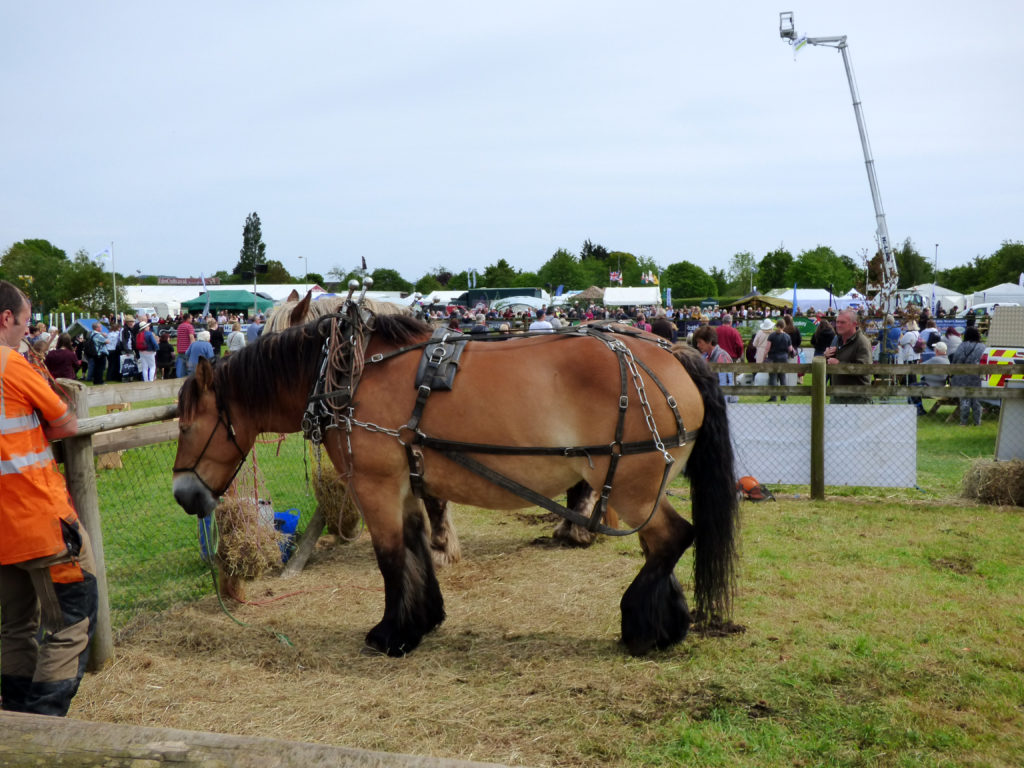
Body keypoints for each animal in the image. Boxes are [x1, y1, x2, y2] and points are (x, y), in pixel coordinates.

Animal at [172, 303, 739, 657]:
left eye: (186, 424)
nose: (182, 494)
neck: (349, 377)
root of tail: (673, 354)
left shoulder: (376, 486)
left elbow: (391, 558)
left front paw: (392, 634)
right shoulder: (405, 486)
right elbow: (418, 548)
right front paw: (423, 620)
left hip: (631, 486)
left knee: (673, 537)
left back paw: (640, 626)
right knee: (661, 545)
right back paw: (668, 623)